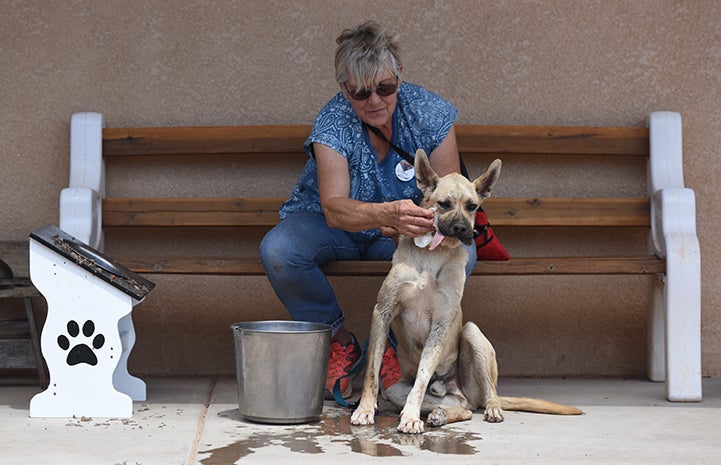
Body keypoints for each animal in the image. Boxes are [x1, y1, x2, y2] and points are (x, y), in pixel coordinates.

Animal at [348, 150, 580, 434]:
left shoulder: (442, 323)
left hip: (471, 334)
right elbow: (372, 371)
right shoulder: (382, 312)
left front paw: (411, 416)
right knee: (463, 408)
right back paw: (440, 414)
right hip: (398, 391)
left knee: (482, 397)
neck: (433, 254)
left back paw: (490, 408)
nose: (462, 229)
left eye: (473, 206)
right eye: (444, 204)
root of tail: (460, 391)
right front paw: (365, 409)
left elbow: (422, 377)